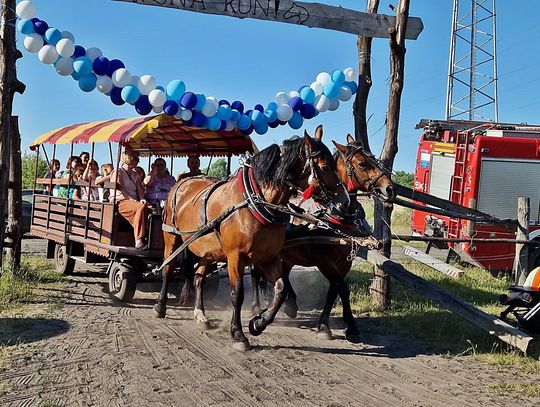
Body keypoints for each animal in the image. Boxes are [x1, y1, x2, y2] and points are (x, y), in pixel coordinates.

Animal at [156, 126, 350, 350]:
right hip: (172, 238)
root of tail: (183, 182)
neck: (256, 202)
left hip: (209, 250)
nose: (345, 202)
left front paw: (258, 323)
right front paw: (238, 334)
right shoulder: (235, 257)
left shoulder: (269, 257)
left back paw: (201, 315)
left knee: (198, 277)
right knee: (168, 268)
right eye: (326, 167)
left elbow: (281, 290)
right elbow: (237, 294)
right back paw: (160, 306)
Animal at [251, 134, 394, 342]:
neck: (335, 217)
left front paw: (336, 325)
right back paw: (256, 305)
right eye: (362, 164)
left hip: (289, 253)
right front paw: (338, 326)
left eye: (374, 159)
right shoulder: (324, 260)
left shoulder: (344, 263)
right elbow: (342, 287)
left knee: (284, 273)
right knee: (256, 273)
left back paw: (291, 304)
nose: (390, 189)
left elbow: (334, 290)